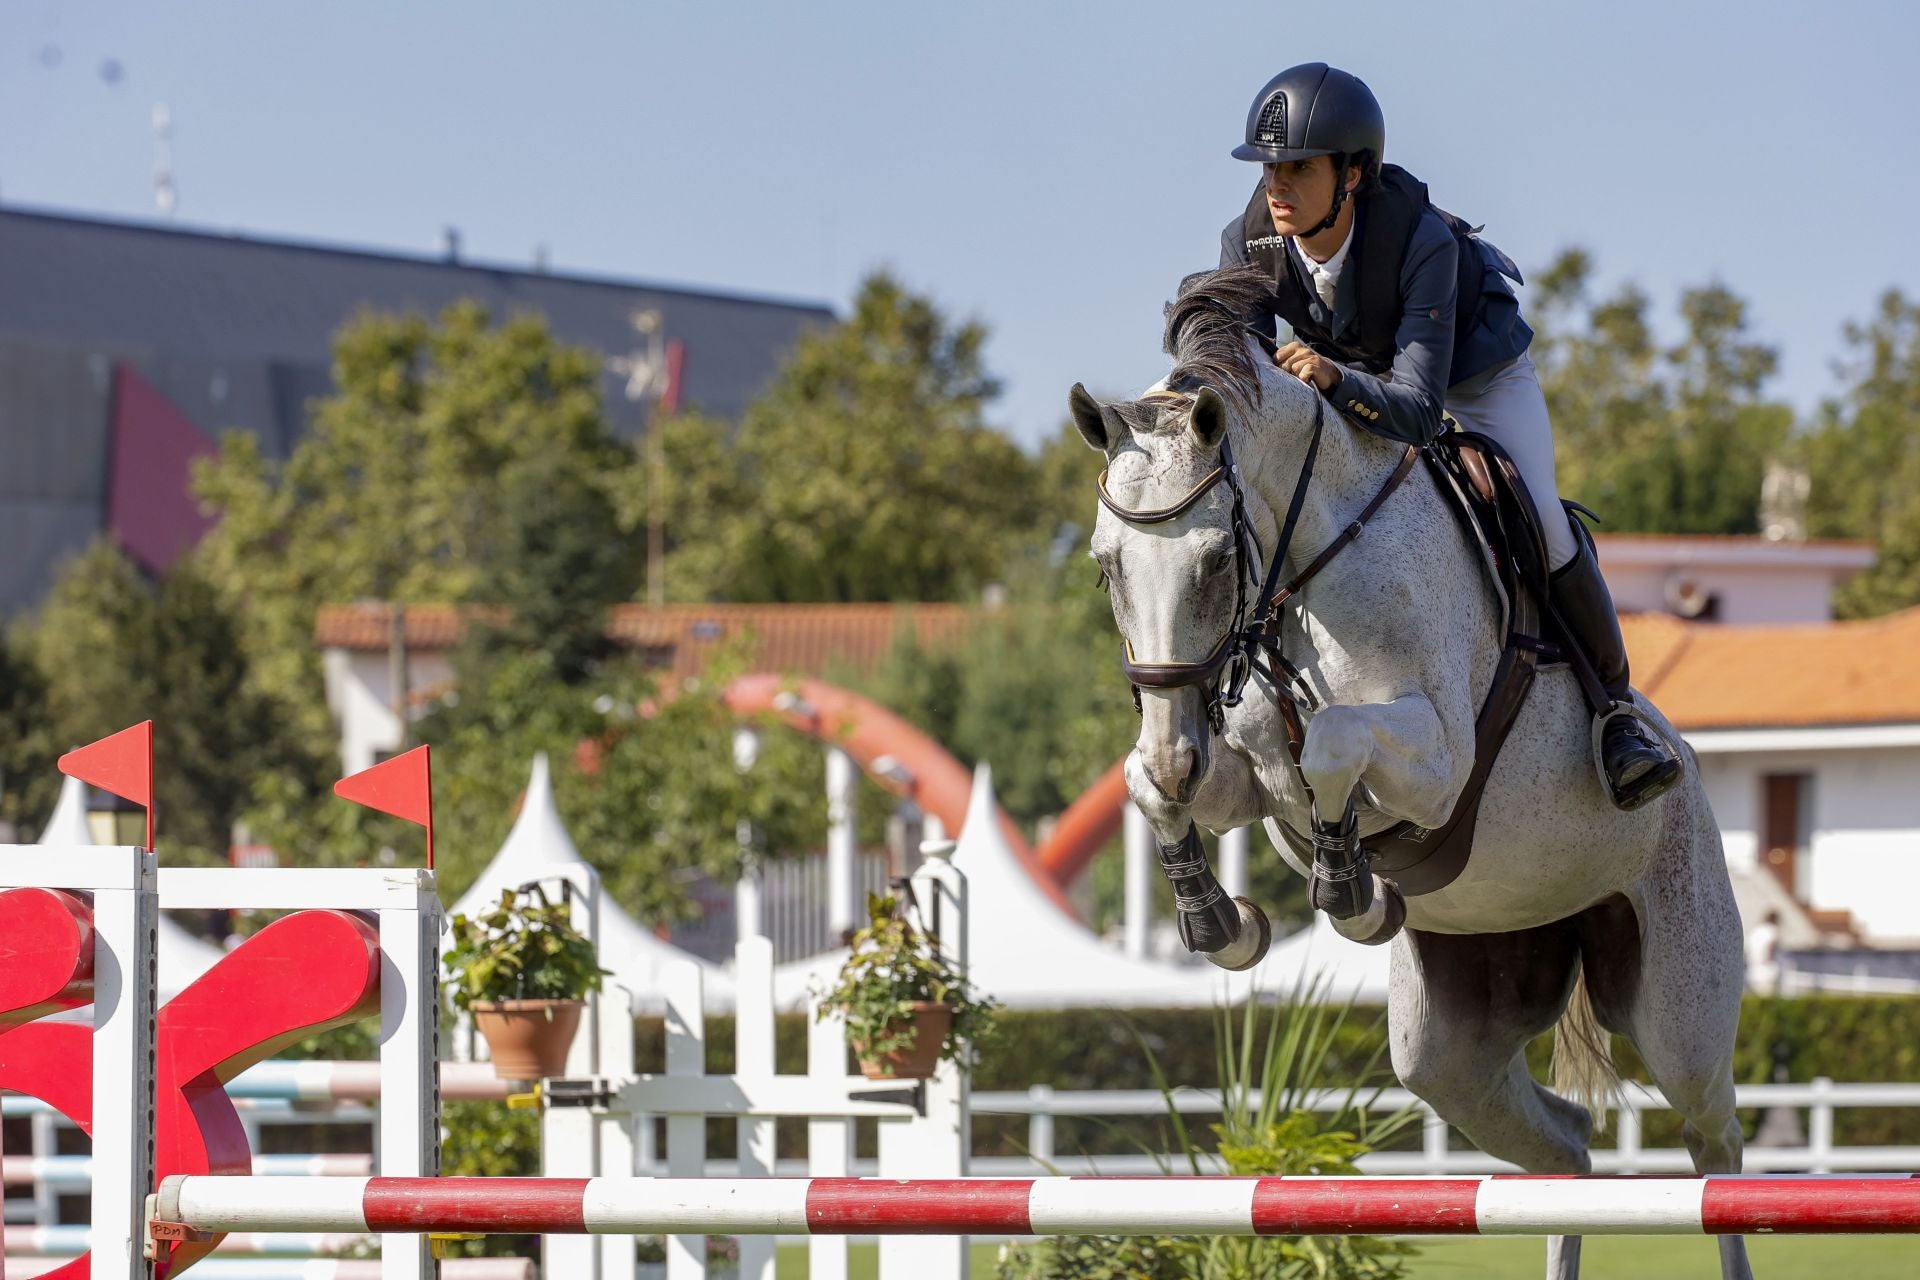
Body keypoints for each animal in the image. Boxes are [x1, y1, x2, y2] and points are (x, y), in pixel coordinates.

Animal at [1075, 264, 1751, 1274]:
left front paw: (1352, 892)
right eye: (1105, 566)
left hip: (1679, 1011)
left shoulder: (1437, 762)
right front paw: (1221, 923)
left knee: (1716, 1152)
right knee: (1567, 1144)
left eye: (1214, 561)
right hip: (1451, 1042)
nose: (1175, 740)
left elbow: (1331, 744)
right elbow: (1149, 786)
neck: (1305, 567)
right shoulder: (1236, 781)